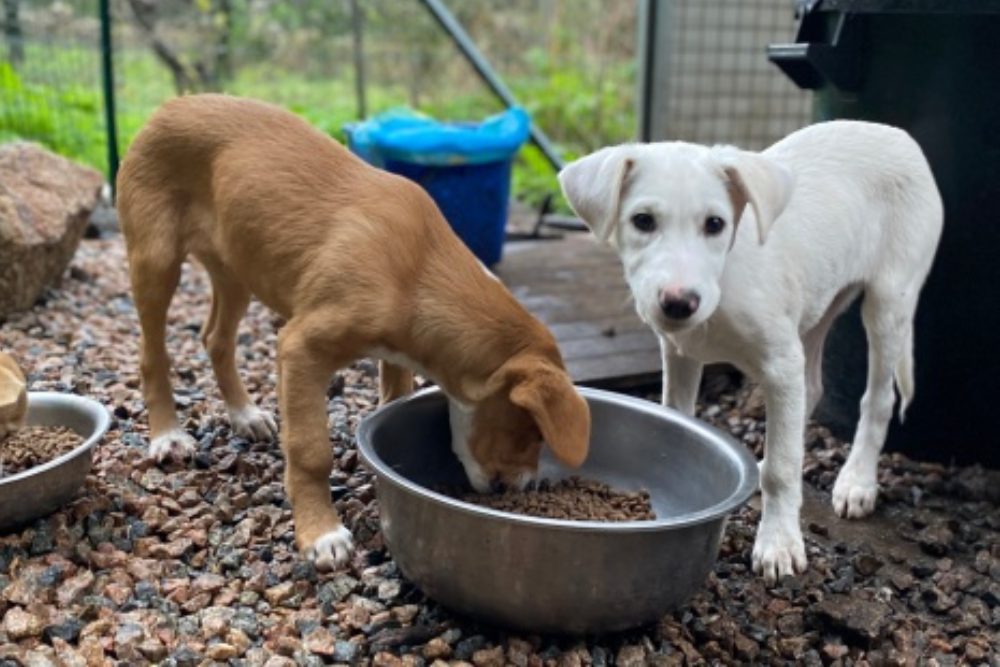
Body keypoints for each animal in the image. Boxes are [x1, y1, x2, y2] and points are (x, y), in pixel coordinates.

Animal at [117, 94, 591, 570]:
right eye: (532, 432)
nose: (524, 488)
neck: (420, 268)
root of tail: (170, 105)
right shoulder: (300, 349)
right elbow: (310, 451)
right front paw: (320, 532)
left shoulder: (397, 355)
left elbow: (392, 401)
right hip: (156, 259)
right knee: (152, 355)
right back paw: (167, 435)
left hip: (235, 267)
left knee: (215, 338)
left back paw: (244, 414)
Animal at [559, 121, 942, 581]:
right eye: (643, 221)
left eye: (715, 224)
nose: (679, 303)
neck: (724, 281)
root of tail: (896, 134)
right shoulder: (681, 353)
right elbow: (678, 419)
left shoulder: (780, 364)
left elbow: (783, 468)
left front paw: (779, 543)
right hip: (815, 306)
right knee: (812, 388)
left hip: (889, 302)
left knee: (878, 399)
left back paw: (857, 482)